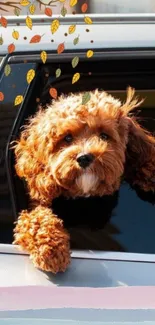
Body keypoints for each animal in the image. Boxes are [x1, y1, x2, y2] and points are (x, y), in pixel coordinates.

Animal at [12, 87, 155, 272]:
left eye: (104, 136)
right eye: (67, 138)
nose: (84, 158)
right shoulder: (36, 203)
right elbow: (35, 219)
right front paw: (51, 248)